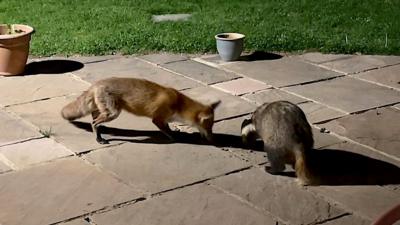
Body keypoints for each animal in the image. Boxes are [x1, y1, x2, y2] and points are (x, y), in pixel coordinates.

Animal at [61, 77, 220, 144]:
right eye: (209, 127)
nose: (213, 140)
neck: (178, 103)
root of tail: (96, 84)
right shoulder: (158, 118)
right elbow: (168, 131)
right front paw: (176, 137)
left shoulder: (164, 119)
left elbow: (168, 128)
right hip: (113, 112)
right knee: (94, 123)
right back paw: (99, 139)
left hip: (102, 110)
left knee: (94, 120)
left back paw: (100, 132)